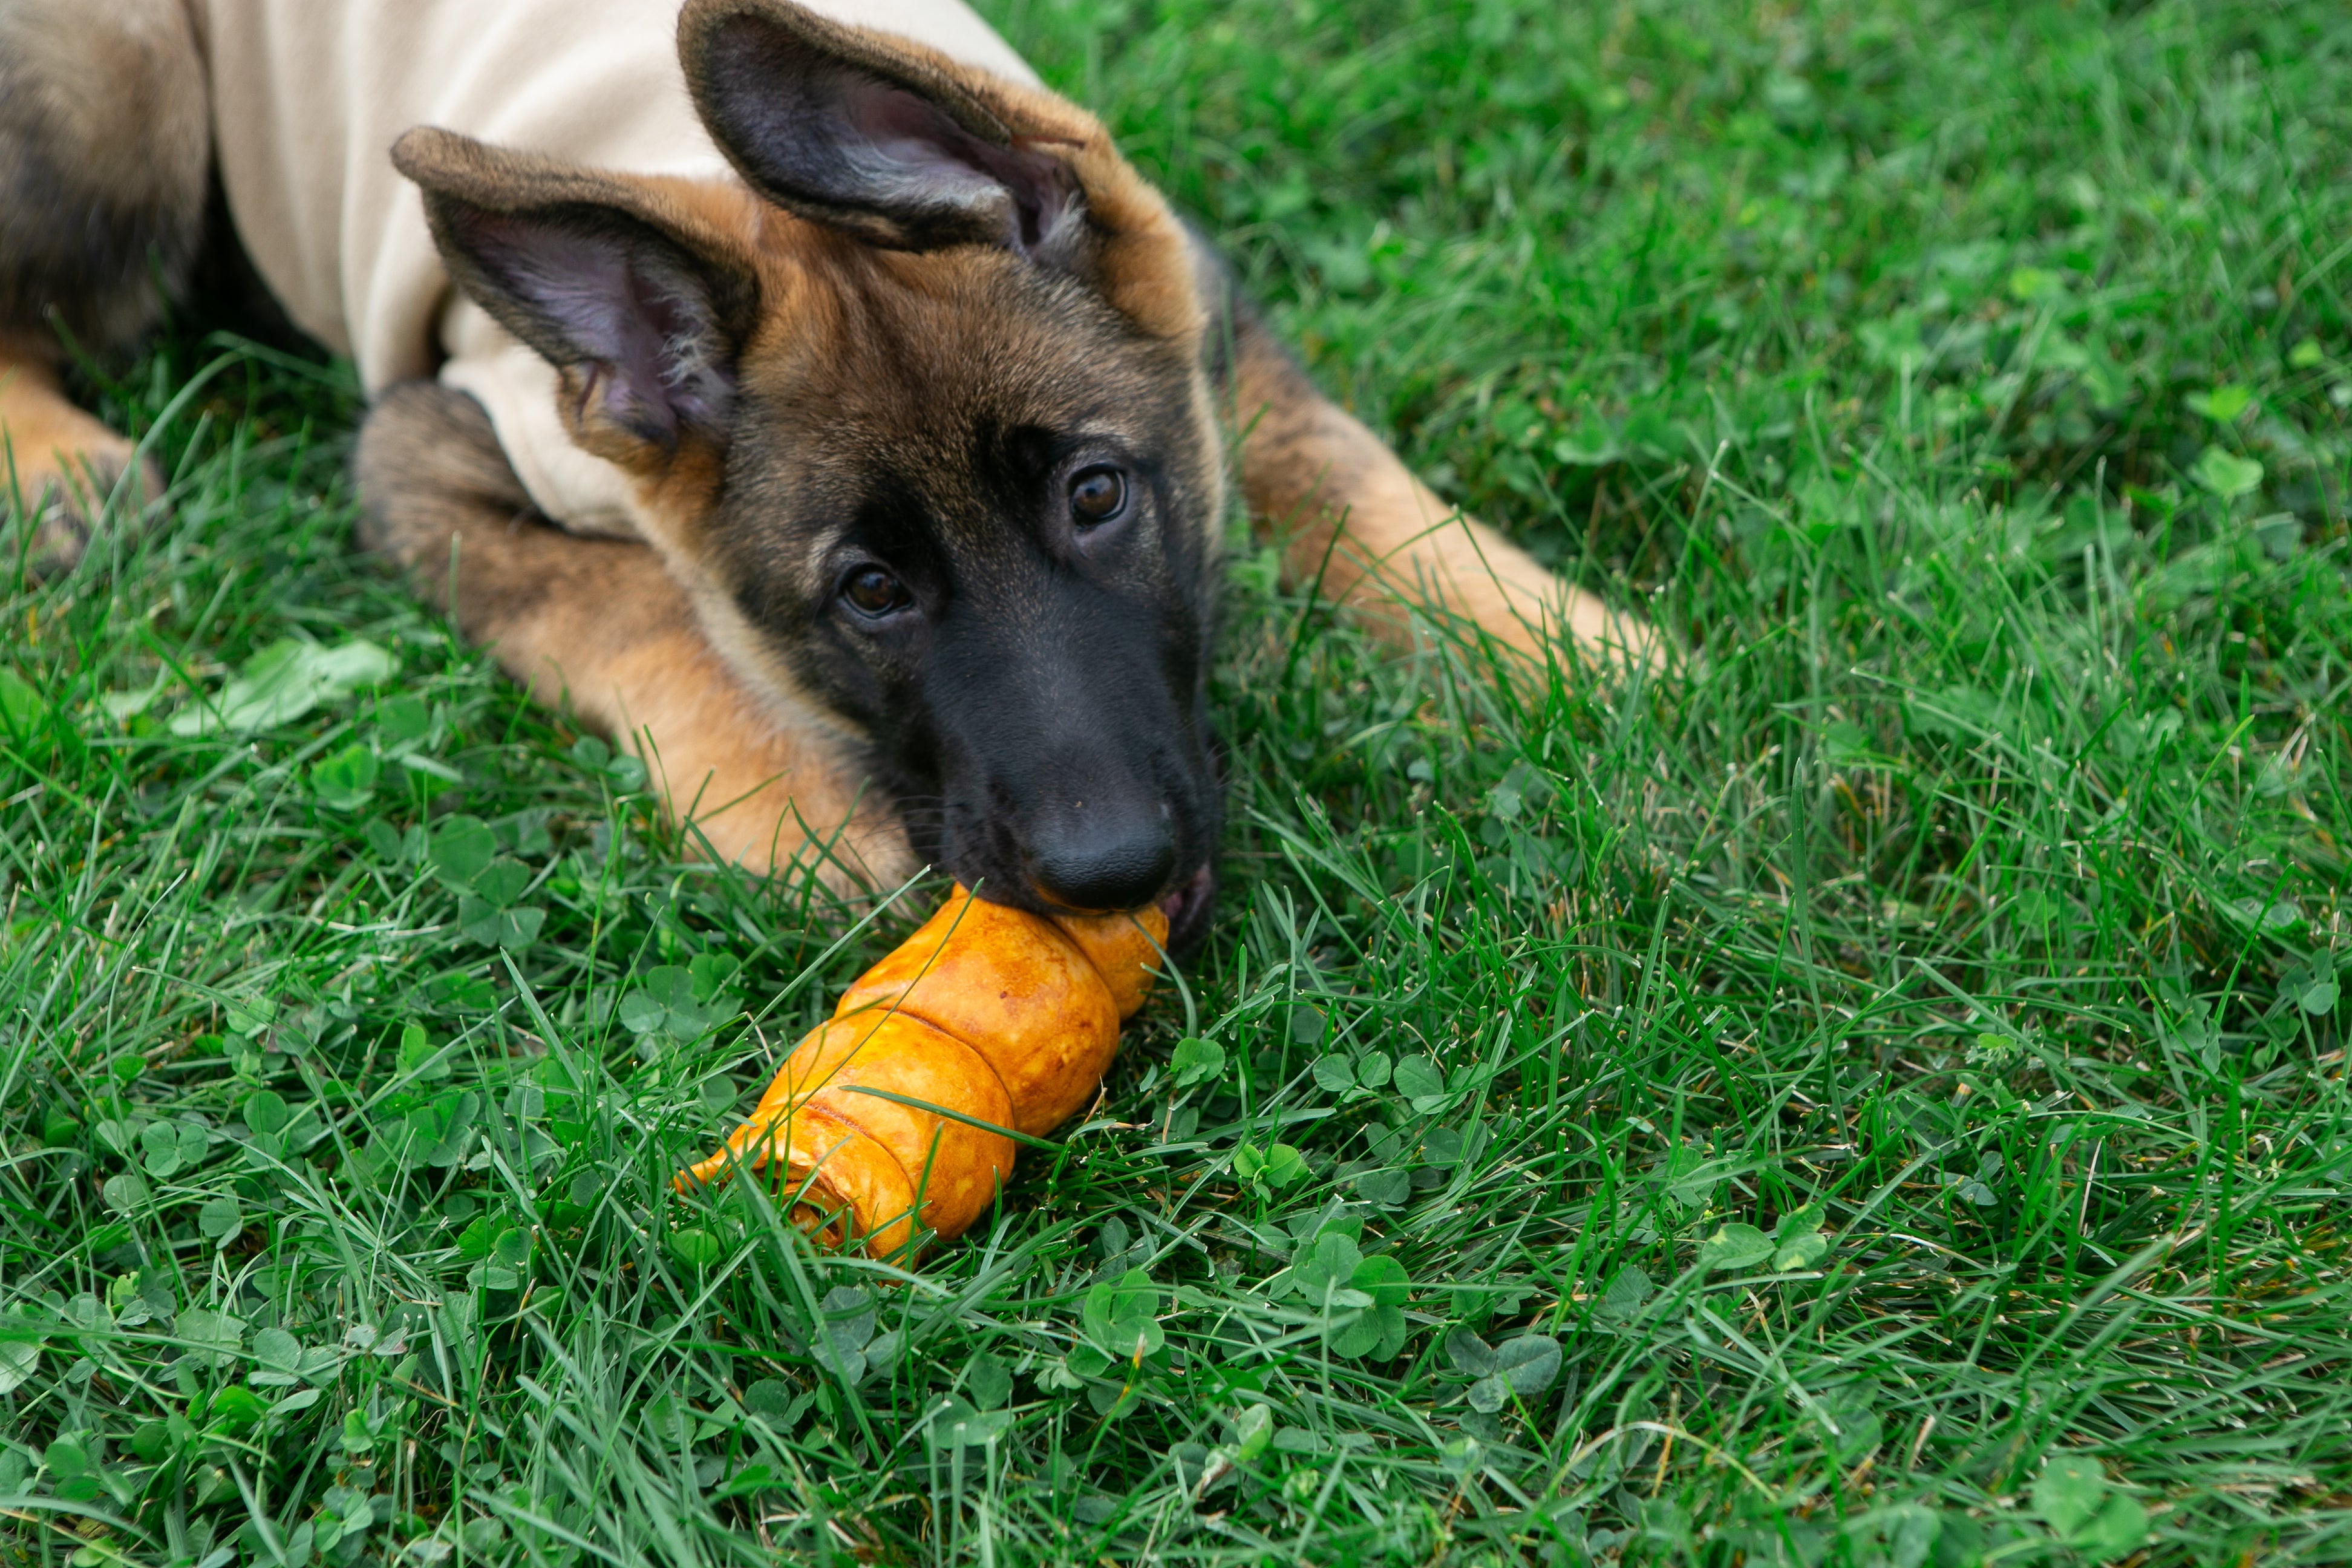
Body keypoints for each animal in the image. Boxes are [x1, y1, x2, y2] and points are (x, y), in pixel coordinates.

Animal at [0, 0, 1646, 949]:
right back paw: (57, 468)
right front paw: (797, 807)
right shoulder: (430, 447)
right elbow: (633, 613)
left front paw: (1543, 638)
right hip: (127, 90)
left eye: (1097, 498)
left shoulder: (1211, 320)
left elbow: (1342, 468)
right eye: (867, 594)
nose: (1106, 870)